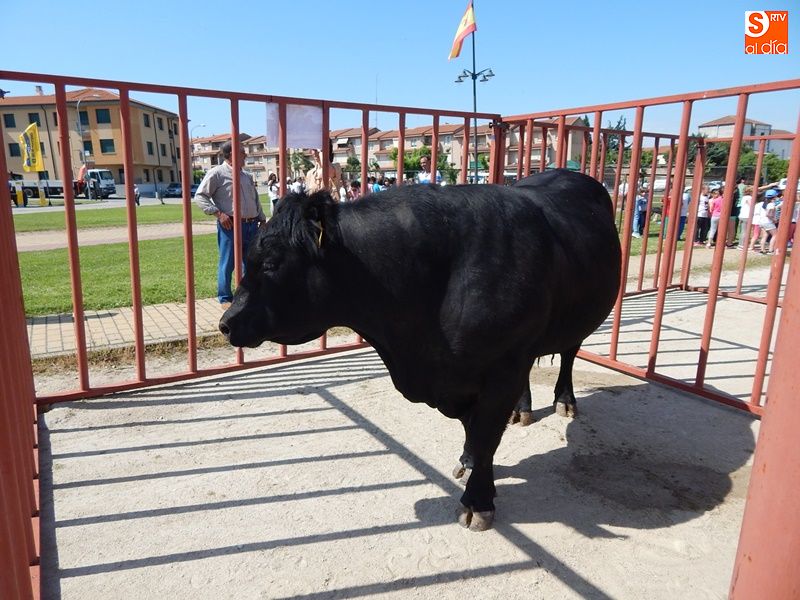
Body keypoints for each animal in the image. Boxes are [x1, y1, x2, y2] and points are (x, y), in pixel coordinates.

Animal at [219, 169, 621, 531]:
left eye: (271, 263)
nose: (227, 322)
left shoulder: (502, 367)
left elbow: (486, 433)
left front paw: (478, 501)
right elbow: (475, 432)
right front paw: (469, 461)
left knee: (569, 353)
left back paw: (565, 401)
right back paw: (521, 410)